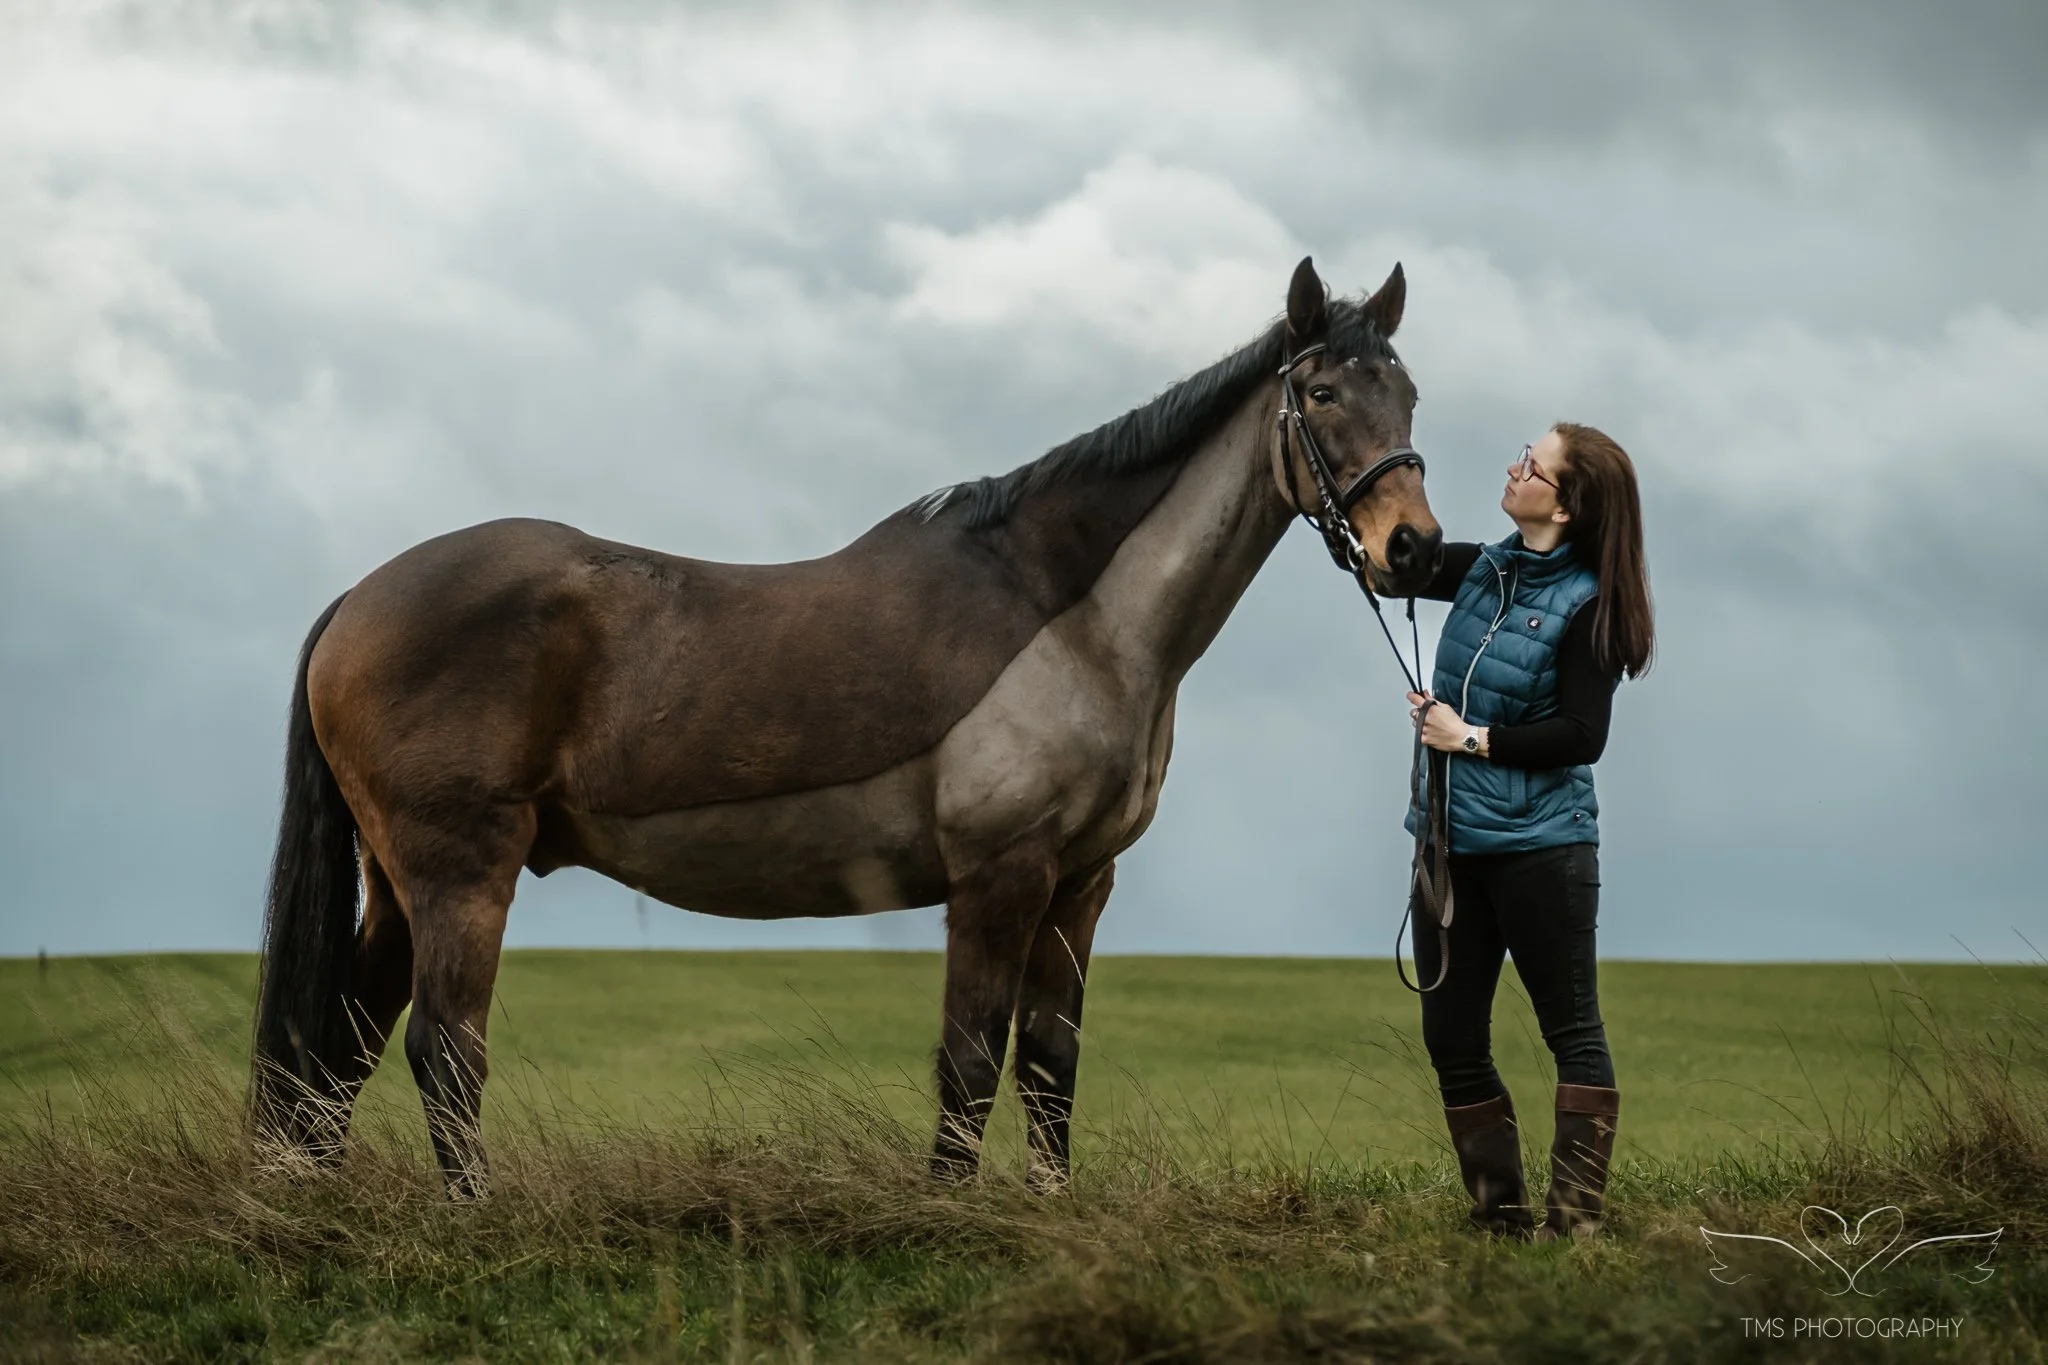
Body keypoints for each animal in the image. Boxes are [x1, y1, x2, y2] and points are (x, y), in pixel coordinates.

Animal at [251, 256, 1442, 1198]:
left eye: (1410, 395)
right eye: (1322, 391)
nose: (1413, 549)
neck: (1068, 615)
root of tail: (356, 600)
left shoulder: (1079, 883)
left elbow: (1050, 1069)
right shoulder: (998, 877)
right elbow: (970, 1065)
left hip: (398, 886)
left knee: (343, 1045)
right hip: (461, 872)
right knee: (442, 1048)